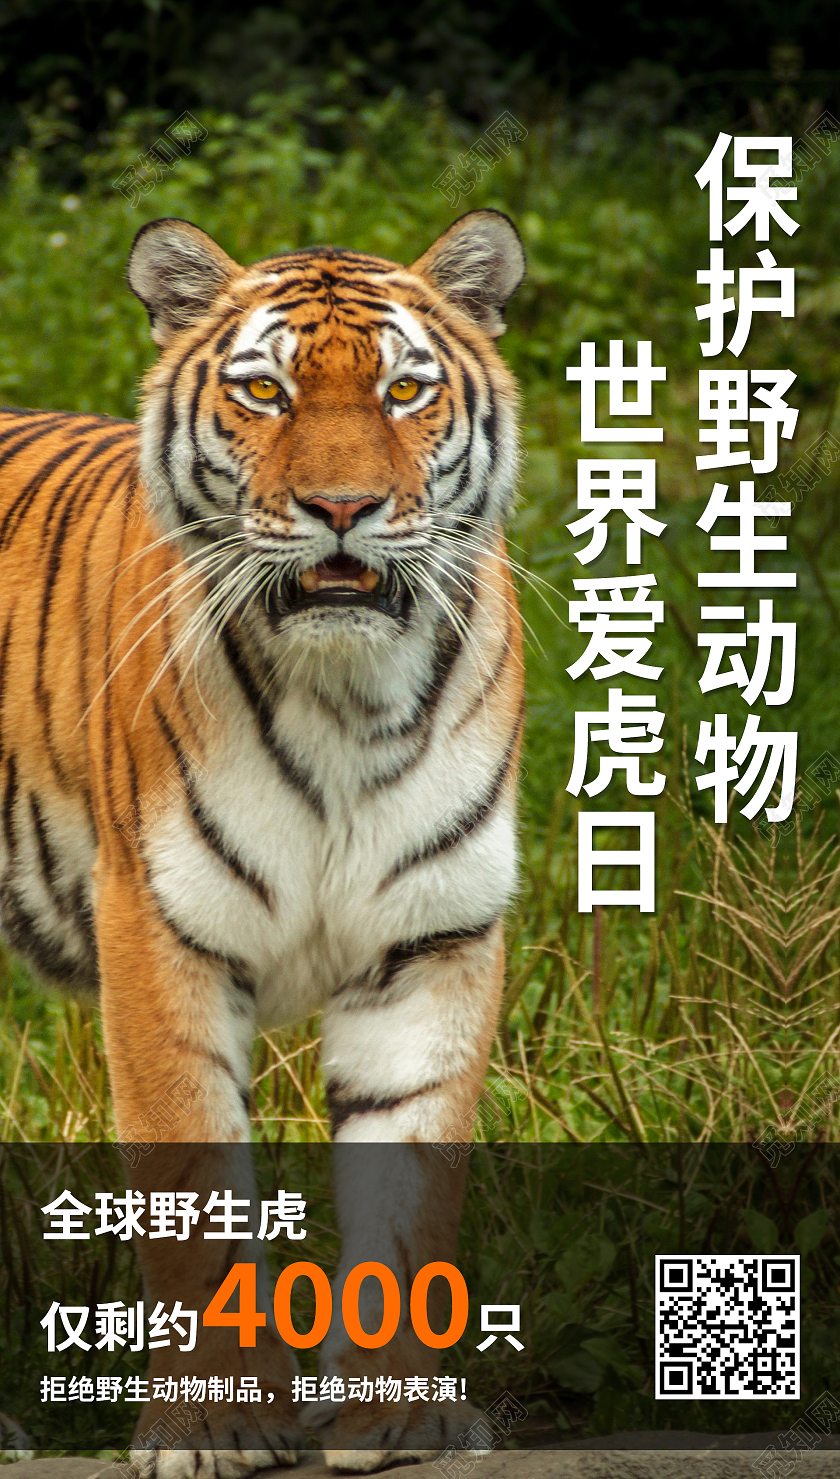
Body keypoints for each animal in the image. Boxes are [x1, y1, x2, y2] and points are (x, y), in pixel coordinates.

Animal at [0, 208, 526, 1474]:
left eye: (402, 390)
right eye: (265, 392)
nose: (343, 509)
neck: (348, 700)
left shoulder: (434, 941)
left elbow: (414, 1182)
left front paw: (400, 1416)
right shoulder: (160, 929)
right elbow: (190, 1183)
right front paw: (215, 1425)